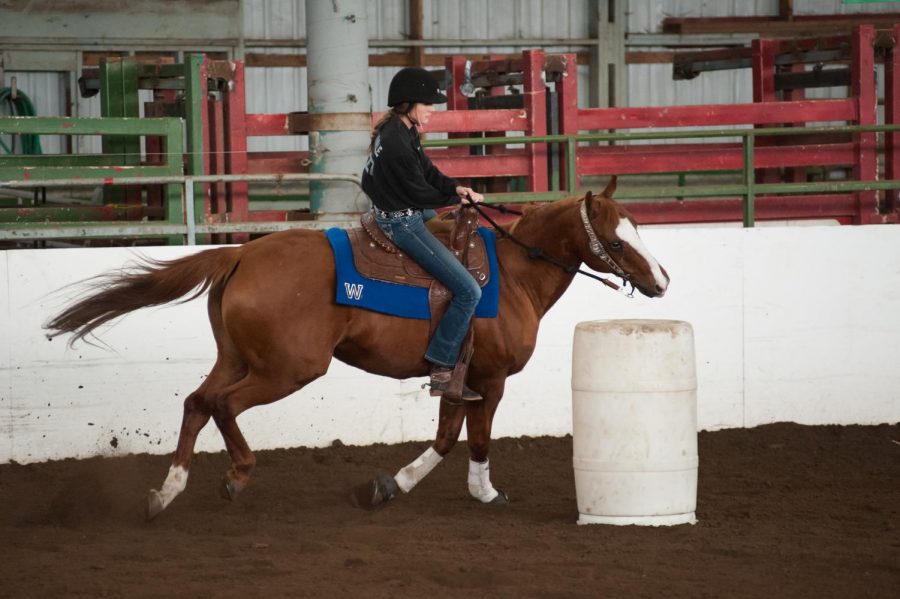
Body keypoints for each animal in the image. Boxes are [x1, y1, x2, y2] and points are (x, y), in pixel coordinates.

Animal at [47, 178, 668, 520]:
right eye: (616, 242)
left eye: (637, 228)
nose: (661, 280)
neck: (512, 273)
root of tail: (241, 254)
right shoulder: (489, 380)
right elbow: (474, 441)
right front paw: (486, 493)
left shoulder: (457, 379)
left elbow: (445, 437)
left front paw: (388, 486)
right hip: (288, 369)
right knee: (222, 406)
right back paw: (236, 476)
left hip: (237, 358)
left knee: (197, 403)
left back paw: (166, 492)